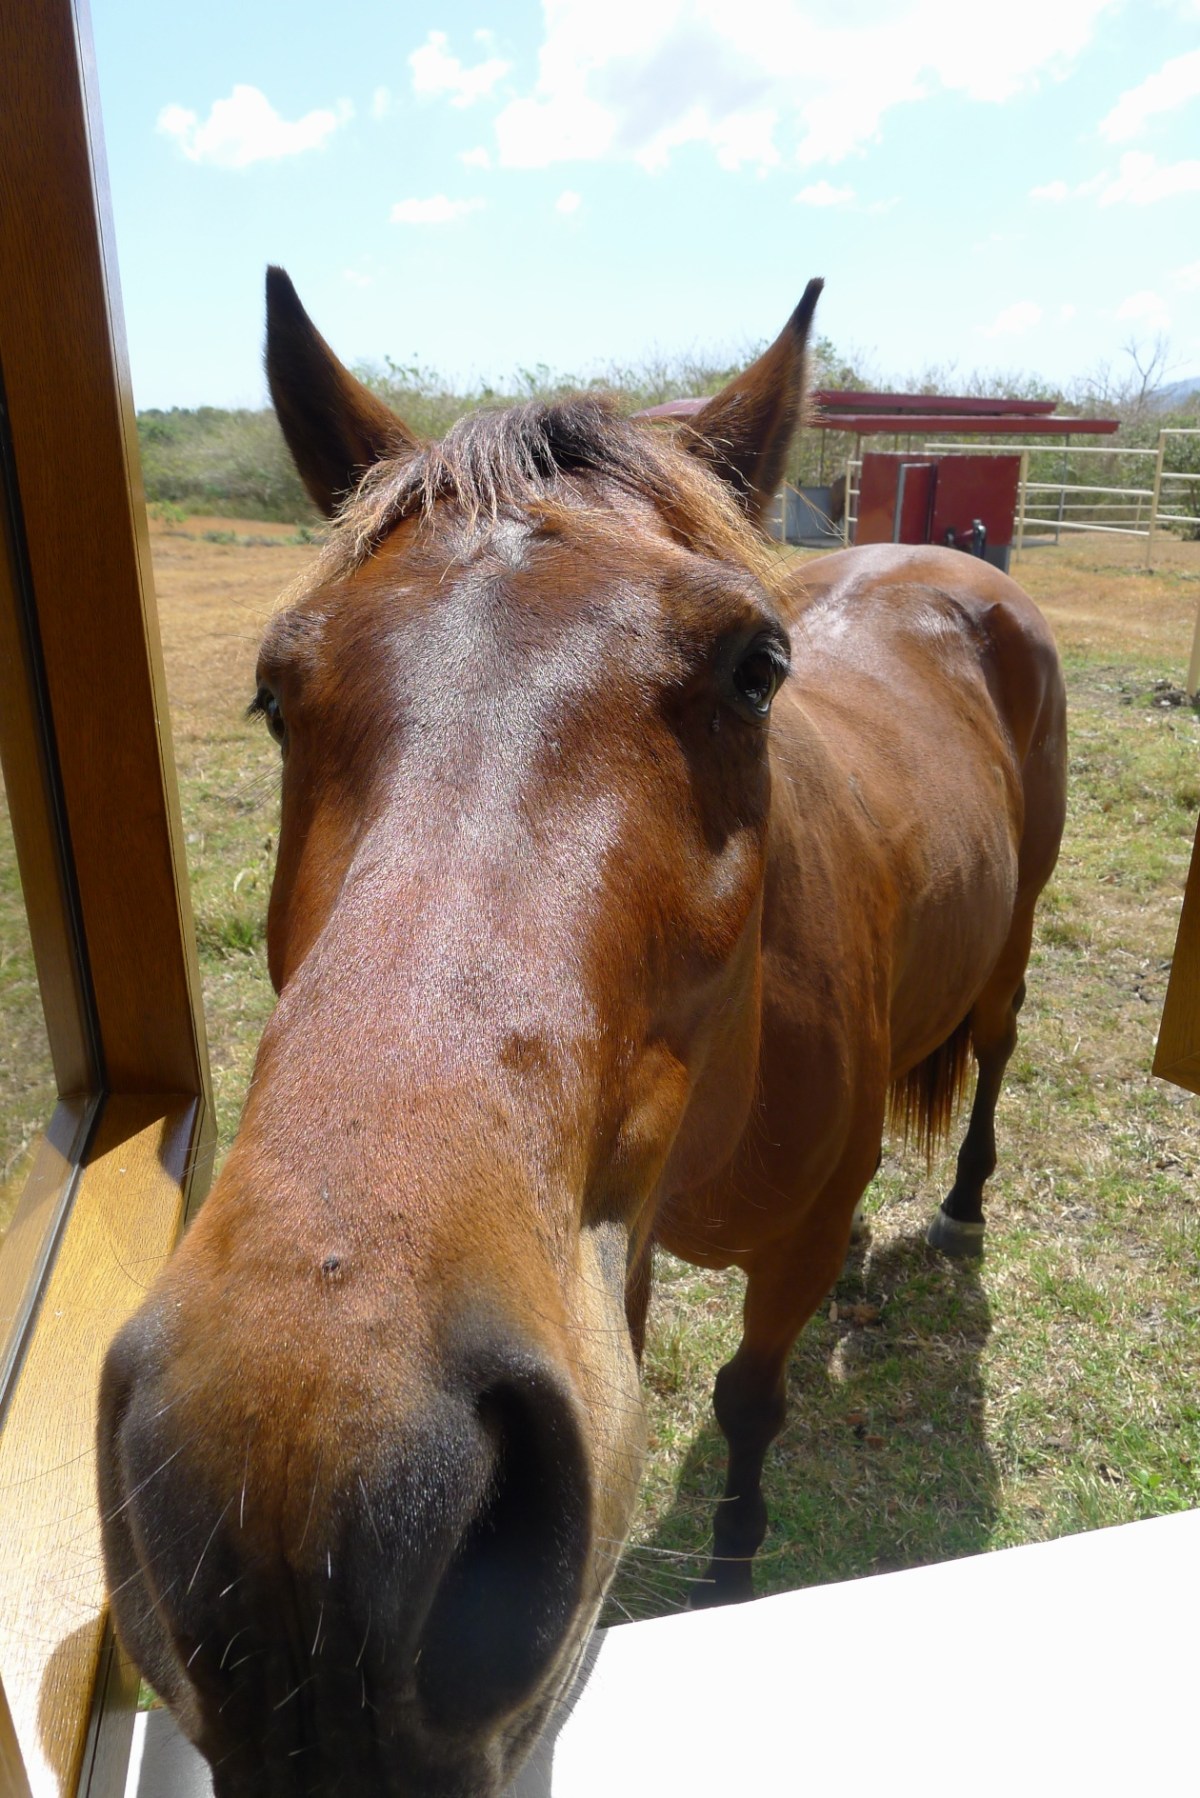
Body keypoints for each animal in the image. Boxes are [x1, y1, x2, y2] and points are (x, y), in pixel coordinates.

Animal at [98, 268, 1066, 1798]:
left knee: (999, 1058)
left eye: (757, 667)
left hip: (1017, 942)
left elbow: (748, 1399)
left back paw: (962, 1205)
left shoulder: (773, 1252)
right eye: (274, 692)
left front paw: (729, 1572)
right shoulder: (616, 1251)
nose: (306, 1508)